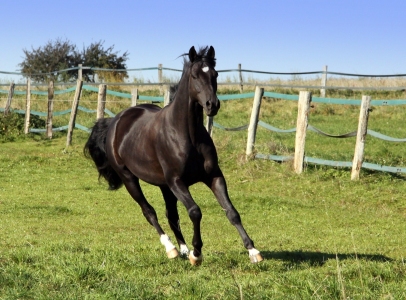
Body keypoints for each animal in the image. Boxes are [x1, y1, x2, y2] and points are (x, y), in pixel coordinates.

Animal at [83, 46, 262, 264]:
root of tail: (116, 121)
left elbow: (232, 212)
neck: (187, 136)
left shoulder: (214, 177)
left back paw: (183, 250)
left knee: (171, 215)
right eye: (194, 76)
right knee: (149, 212)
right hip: (129, 178)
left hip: (164, 185)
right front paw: (197, 254)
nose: (212, 105)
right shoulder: (177, 181)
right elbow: (195, 212)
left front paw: (253, 251)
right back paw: (172, 249)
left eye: (215, 74)